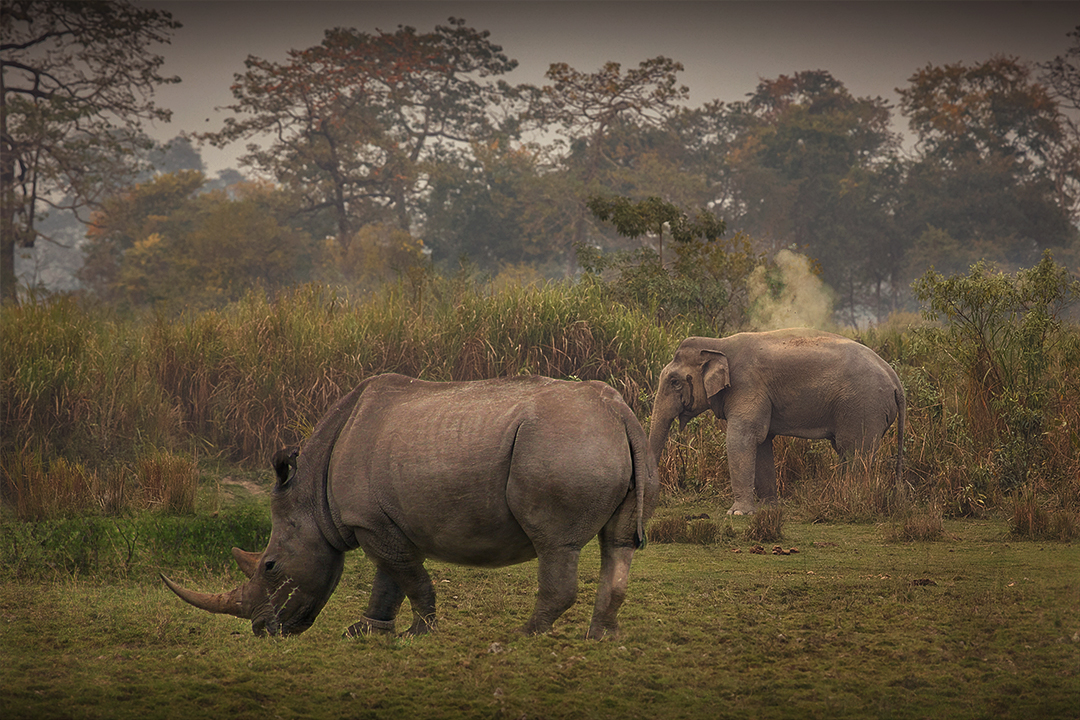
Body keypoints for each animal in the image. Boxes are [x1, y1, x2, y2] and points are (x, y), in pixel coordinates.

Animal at [157, 375, 656, 639]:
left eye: (270, 567)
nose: (264, 631)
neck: (310, 495)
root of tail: (620, 412)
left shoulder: (368, 522)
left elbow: (408, 577)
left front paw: (420, 634)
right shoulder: (380, 522)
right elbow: (390, 578)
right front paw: (365, 632)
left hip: (561, 442)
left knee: (556, 544)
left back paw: (524, 636)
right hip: (599, 441)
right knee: (618, 544)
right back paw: (600, 638)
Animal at [648, 330, 902, 515]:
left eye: (674, 382)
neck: (718, 344)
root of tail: (895, 379)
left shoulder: (747, 384)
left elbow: (742, 438)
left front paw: (737, 513)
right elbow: (761, 442)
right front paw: (768, 508)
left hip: (864, 406)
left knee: (855, 451)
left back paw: (851, 501)